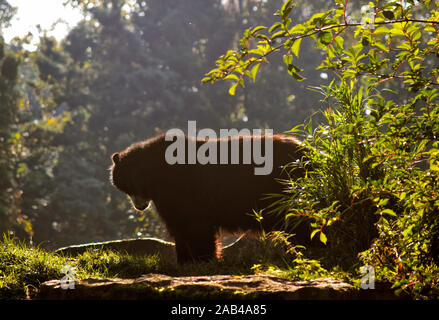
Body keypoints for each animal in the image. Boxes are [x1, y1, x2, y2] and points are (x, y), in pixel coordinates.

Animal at [110, 132, 312, 262]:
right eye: (123, 187)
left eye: (128, 184)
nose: (139, 206)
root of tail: (308, 151)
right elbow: (179, 226)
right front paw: (185, 259)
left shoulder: (183, 189)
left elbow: (194, 225)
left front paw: (202, 259)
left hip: (286, 187)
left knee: (300, 221)